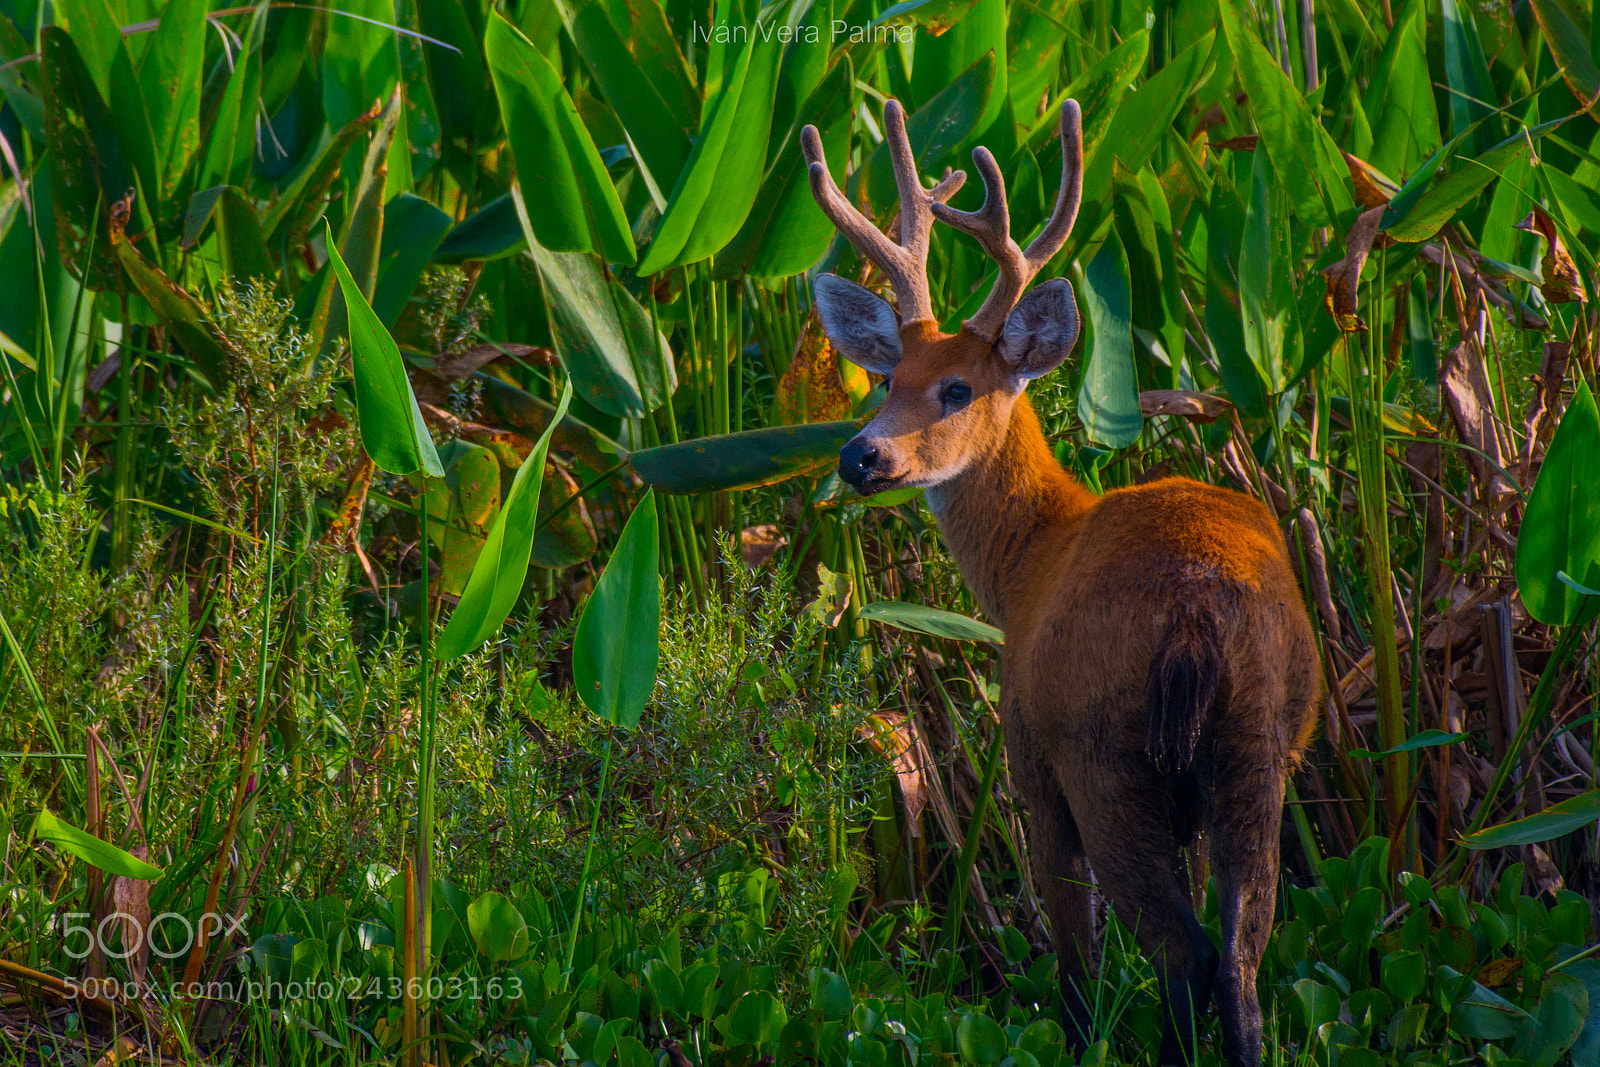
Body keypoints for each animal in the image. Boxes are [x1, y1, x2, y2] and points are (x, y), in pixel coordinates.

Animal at [799, 99, 1320, 1067]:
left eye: (957, 388)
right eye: (887, 377)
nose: (861, 457)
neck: (1030, 558)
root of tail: (1193, 615)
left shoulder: (1029, 757)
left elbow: (1075, 950)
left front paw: (1072, 1034)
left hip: (1100, 746)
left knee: (1180, 949)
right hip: (1258, 738)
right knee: (1243, 950)